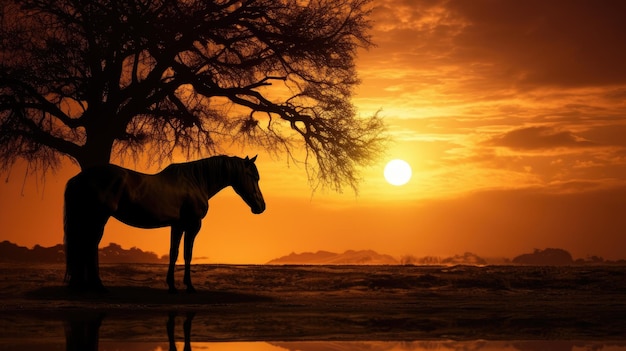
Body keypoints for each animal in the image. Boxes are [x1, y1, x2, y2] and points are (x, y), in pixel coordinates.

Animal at [63, 155, 266, 292]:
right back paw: (97, 285)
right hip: (97, 218)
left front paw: (172, 286)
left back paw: (80, 285)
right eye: (253, 176)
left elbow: (173, 253)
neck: (196, 182)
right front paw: (189, 286)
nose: (261, 206)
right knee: (88, 246)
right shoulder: (193, 225)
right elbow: (187, 254)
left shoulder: (177, 226)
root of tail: (79, 177)